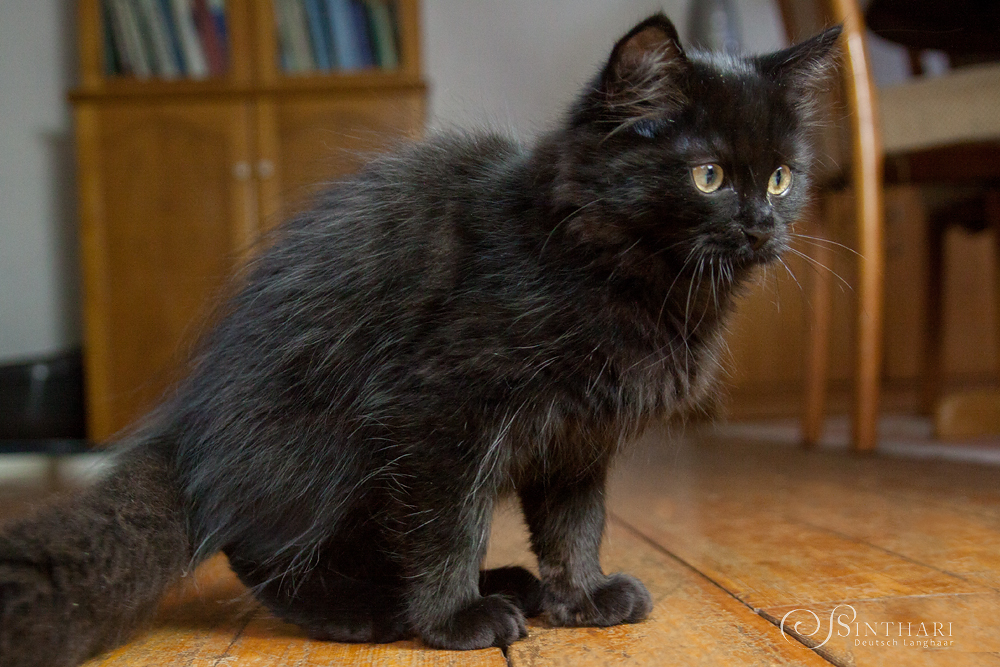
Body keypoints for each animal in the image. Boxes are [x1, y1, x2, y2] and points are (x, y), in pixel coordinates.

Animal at [0, 15, 844, 667]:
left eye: (780, 178)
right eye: (708, 176)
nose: (762, 226)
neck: (617, 274)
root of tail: (190, 441)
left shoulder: (578, 438)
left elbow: (575, 525)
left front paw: (580, 597)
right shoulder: (441, 411)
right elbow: (448, 528)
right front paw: (451, 621)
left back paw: (510, 583)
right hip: (319, 441)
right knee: (265, 550)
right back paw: (383, 611)